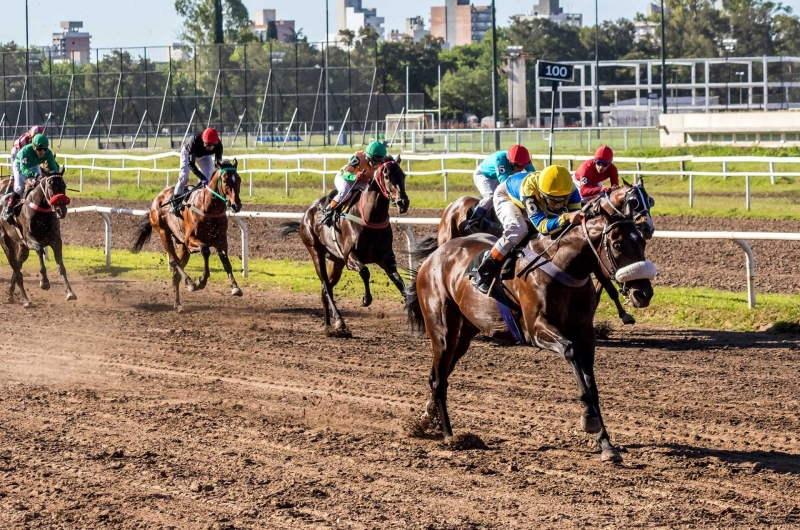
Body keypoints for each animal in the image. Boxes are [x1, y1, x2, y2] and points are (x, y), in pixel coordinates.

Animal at [0, 165, 76, 306]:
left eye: (64, 185)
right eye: (50, 186)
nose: (61, 211)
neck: (42, 211)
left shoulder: (56, 240)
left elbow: (61, 267)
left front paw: (70, 292)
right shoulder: (30, 240)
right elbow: (40, 250)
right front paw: (44, 282)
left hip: (23, 248)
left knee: (17, 266)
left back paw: (11, 294)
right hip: (6, 242)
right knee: (16, 269)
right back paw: (26, 300)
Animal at [130, 159, 244, 312]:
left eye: (239, 179)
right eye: (225, 181)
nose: (236, 205)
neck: (208, 207)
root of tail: (157, 199)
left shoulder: (220, 240)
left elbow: (226, 261)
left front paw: (235, 287)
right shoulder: (190, 240)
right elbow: (205, 250)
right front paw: (201, 280)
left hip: (182, 246)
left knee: (176, 273)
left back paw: (178, 303)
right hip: (164, 233)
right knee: (174, 261)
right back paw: (190, 283)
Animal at [278, 156, 410, 334]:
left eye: (403, 175)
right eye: (387, 176)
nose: (403, 202)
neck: (370, 216)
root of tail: (306, 214)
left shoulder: (386, 258)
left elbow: (399, 282)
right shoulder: (350, 256)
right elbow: (365, 271)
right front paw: (366, 299)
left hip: (336, 261)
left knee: (324, 288)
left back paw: (328, 324)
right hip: (316, 252)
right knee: (326, 286)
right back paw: (339, 321)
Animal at [406, 196, 656, 460]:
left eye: (641, 241)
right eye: (617, 245)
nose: (643, 293)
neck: (564, 266)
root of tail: (434, 256)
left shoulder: (586, 333)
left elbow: (592, 385)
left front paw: (606, 444)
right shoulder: (536, 329)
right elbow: (571, 353)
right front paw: (589, 419)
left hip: (464, 335)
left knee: (439, 376)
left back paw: (427, 418)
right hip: (443, 332)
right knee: (439, 379)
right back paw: (449, 435)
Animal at [418, 179, 656, 324]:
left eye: (650, 201)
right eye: (634, 201)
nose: (648, 228)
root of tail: (452, 206)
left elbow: (608, 286)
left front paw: (622, 314)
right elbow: (609, 286)